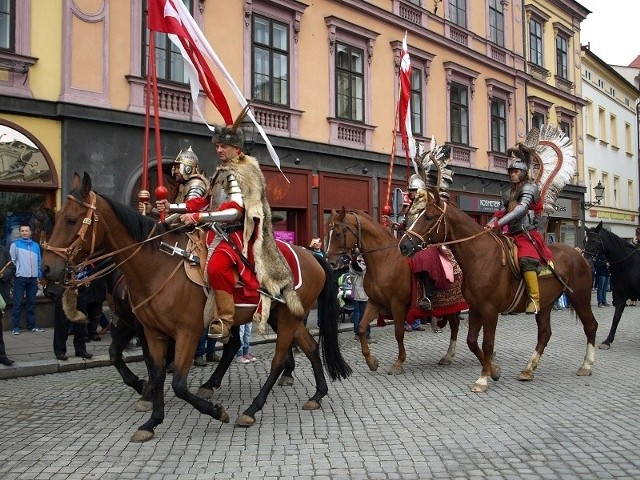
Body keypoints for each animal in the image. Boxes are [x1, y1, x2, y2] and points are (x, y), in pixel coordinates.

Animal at [41, 172, 350, 442]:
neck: (156, 265)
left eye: (71, 219)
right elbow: (150, 369)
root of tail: (311, 255)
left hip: (286, 318)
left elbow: (178, 383)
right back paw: (316, 395)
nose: (47, 270)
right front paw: (151, 420)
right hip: (282, 316)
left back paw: (251, 409)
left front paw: (215, 412)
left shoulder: (186, 333)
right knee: (309, 347)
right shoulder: (149, 330)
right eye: (55, 219)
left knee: (276, 359)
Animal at [324, 209, 460, 376]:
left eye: (337, 233)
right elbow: (361, 327)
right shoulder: (374, 302)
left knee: (455, 325)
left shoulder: (397, 304)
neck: (384, 260)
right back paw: (448, 356)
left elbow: (398, 332)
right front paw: (371, 361)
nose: (330, 262)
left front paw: (399, 362)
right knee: (455, 324)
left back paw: (450, 355)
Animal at [398, 189, 596, 392]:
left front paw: (482, 378)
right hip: (545, 304)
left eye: (428, 217)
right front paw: (493, 371)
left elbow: (487, 343)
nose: (404, 245)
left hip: (579, 297)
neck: (479, 256)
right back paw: (528, 369)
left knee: (590, 325)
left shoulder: (489, 310)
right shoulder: (475, 308)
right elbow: (471, 341)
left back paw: (586, 365)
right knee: (544, 334)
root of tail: (579, 254)